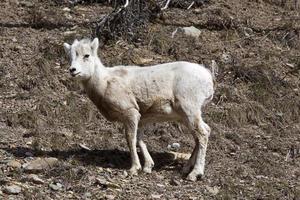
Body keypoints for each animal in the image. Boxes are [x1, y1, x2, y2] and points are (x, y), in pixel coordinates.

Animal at [63, 37, 214, 181]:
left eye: (86, 55)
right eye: (70, 56)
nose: (72, 70)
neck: (105, 82)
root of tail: (208, 77)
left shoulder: (130, 113)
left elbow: (130, 139)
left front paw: (134, 168)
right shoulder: (140, 119)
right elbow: (139, 140)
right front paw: (148, 167)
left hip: (190, 111)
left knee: (202, 134)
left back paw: (195, 174)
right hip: (185, 117)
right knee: (200, 135)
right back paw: (186, 168)